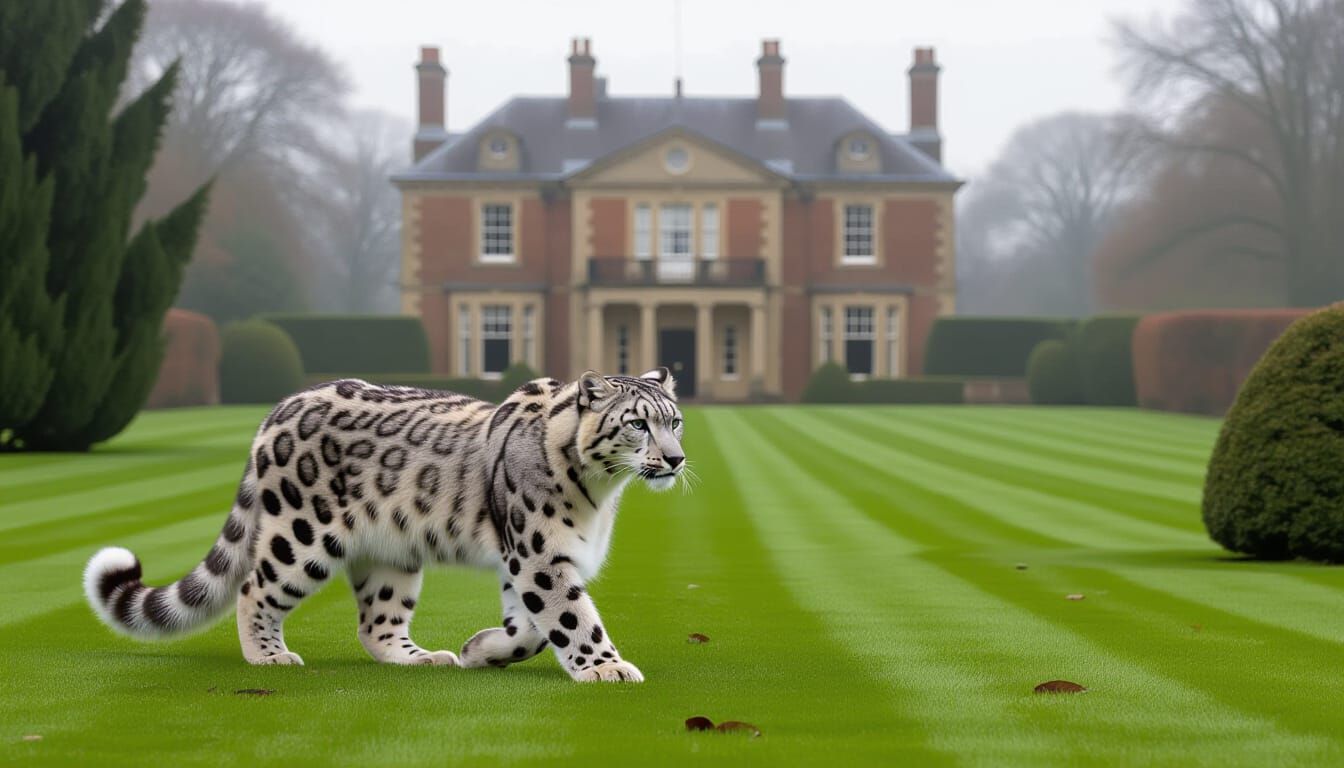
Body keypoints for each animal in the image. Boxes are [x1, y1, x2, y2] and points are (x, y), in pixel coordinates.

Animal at [82, 368, 686, 683]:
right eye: (637, 424)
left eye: (675, 420)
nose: (677, 459)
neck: (601, 495)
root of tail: (277, 410)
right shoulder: (538, 554)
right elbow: (571, 617)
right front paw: (607, 668)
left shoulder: (529, 560)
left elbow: (532, 629)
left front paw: (481, 649)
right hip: (300, 536)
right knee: (255, 586)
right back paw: (269, 655)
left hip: (392, 556)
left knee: (377, 623)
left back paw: (422, 657)